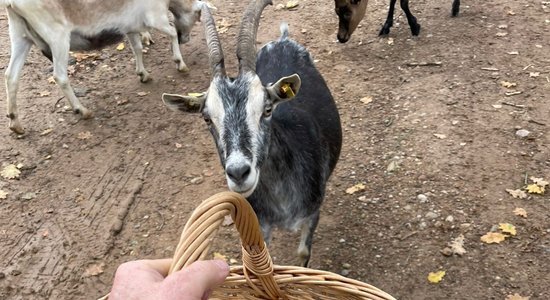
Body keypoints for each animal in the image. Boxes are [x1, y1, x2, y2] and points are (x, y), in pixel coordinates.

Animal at [0, 0, 204, 134]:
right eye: (197, 15)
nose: (185, 39)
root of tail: (11, 3)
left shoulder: (130, 25)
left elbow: (137, 48)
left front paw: (143, 74)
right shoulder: (155, 17)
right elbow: (171, 31)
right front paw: (180, 64)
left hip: (20, 35)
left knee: (11, 76)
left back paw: (15, 123)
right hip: (57, 37)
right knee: (59, 76)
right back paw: (82, 110)